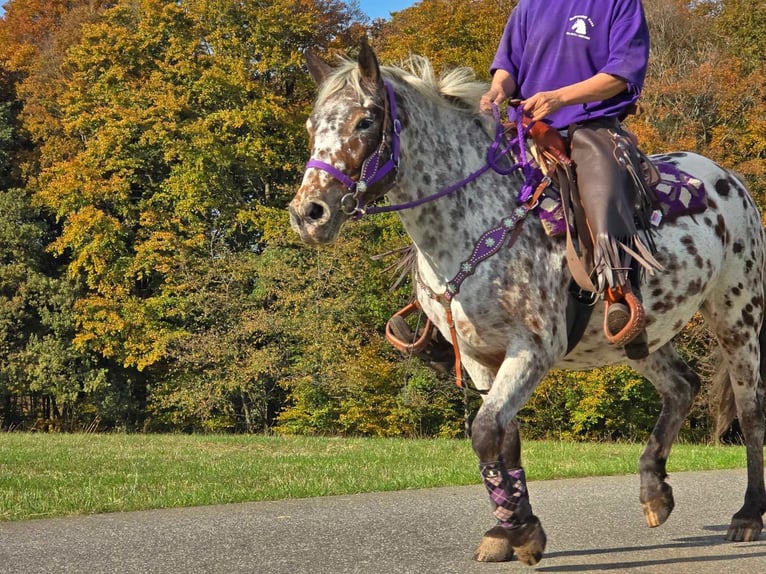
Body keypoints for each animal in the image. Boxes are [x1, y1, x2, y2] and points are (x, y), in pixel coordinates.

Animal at [288, 41, 766, 568]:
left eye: (366, 120)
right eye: (312, 126)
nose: (309, 214)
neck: (476, 223)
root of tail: (729, 179)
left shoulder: (532, 349)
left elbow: (485, 431)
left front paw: (522, 532)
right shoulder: (479, 357)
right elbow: (502, 436)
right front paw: (507, 529)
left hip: (738, 318)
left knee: (749, 412)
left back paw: (747, 515)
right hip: (639, 335)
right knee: (682, 386)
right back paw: (654, 491)